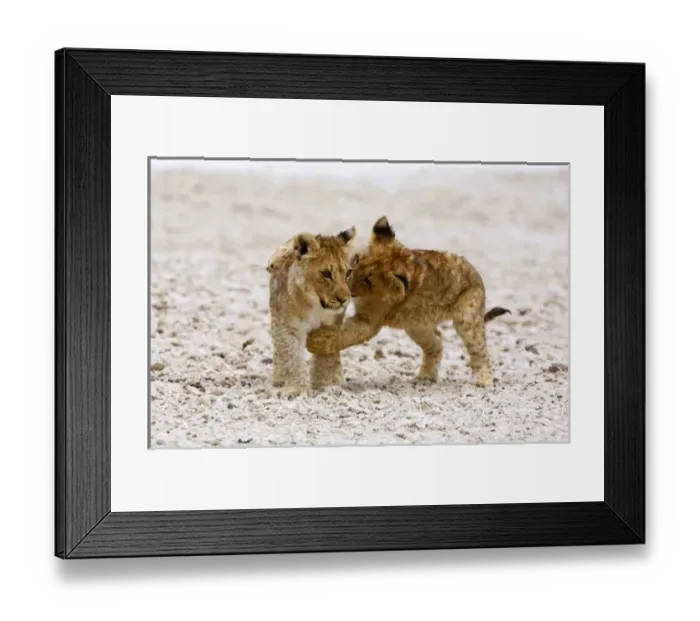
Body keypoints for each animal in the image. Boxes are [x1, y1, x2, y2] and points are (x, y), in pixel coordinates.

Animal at [266, 226, 359, 398]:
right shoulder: (286, 326)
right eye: (326, 274)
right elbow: (291, 355)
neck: (314, 303)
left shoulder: (329, 327)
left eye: (348, 273)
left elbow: (326, 357)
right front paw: (296, 389)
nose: (345, 299)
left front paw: (326, 385)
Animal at [305, 216, 510, 388]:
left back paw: (483, 380)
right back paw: (425, 378)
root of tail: (476, 275)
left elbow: (346, 333)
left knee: (479, 350)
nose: (347, 288)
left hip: (467, 316)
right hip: (417, 327)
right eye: (356, 260)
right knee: (437, 342)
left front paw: (316, 341)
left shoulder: (370, 321)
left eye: (368, 280)